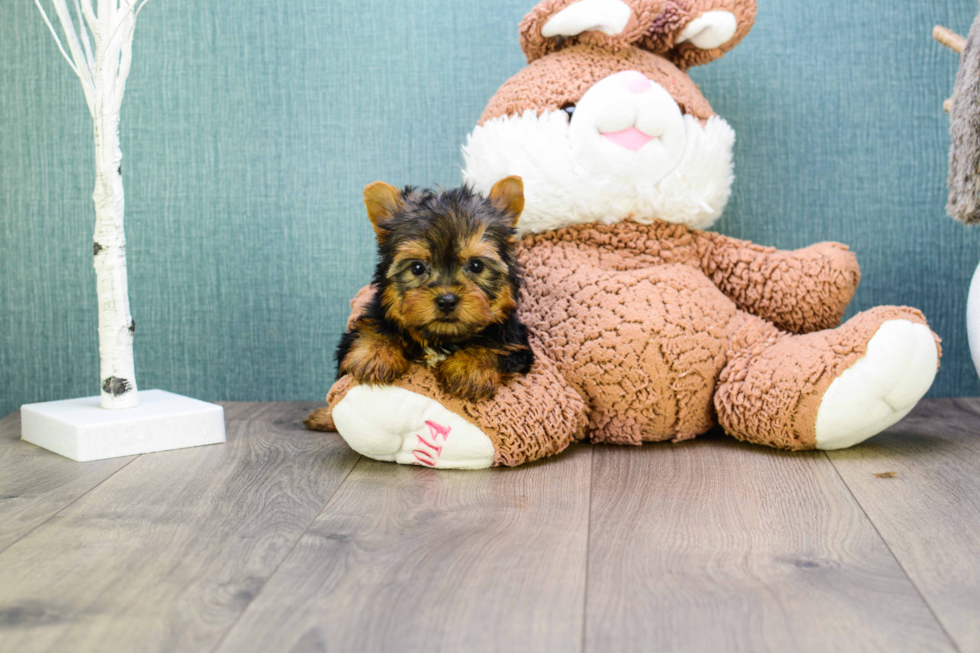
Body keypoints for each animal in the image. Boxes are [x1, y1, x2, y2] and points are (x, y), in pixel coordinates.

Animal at [336, 176, 536, 400]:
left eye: (476, 265)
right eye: (417, 267)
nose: (447, 301)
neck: (440, 339)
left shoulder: (515, 342)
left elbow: (495, 345)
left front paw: (469, 367)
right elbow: (373, 327)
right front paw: (375, 353)